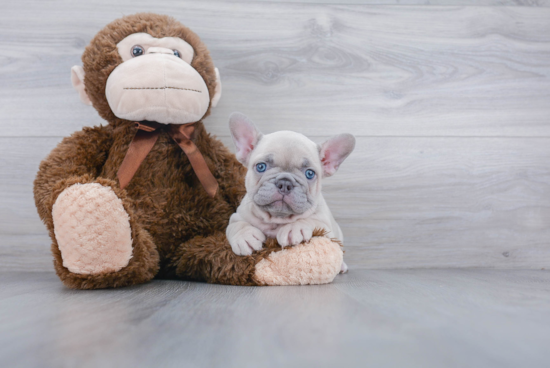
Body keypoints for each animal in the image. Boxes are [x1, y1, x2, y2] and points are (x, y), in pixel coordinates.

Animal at [225, 112, 358, 274]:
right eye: (261, 166)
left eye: (309, 174)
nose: (285, 183)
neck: (276, 219)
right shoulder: (238, 215)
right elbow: (235, 225)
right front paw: (244, 236)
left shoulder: (327, 228)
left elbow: (313, 221)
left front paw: (295, 228)